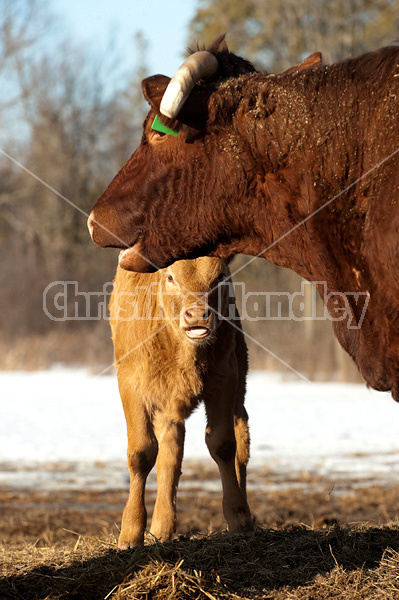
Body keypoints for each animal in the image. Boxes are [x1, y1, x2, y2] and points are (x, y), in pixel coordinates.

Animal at [109, 255, 253, 548]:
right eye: (171, 277)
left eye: (220, 276)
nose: (197, 315)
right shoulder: (130, 384)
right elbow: (141, 453)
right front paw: (131, 532)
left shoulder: (225, 378)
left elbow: (223, 445)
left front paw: (238, 518)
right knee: (170, 451)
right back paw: (162, 527)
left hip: (239, 384)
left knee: (241, 443)